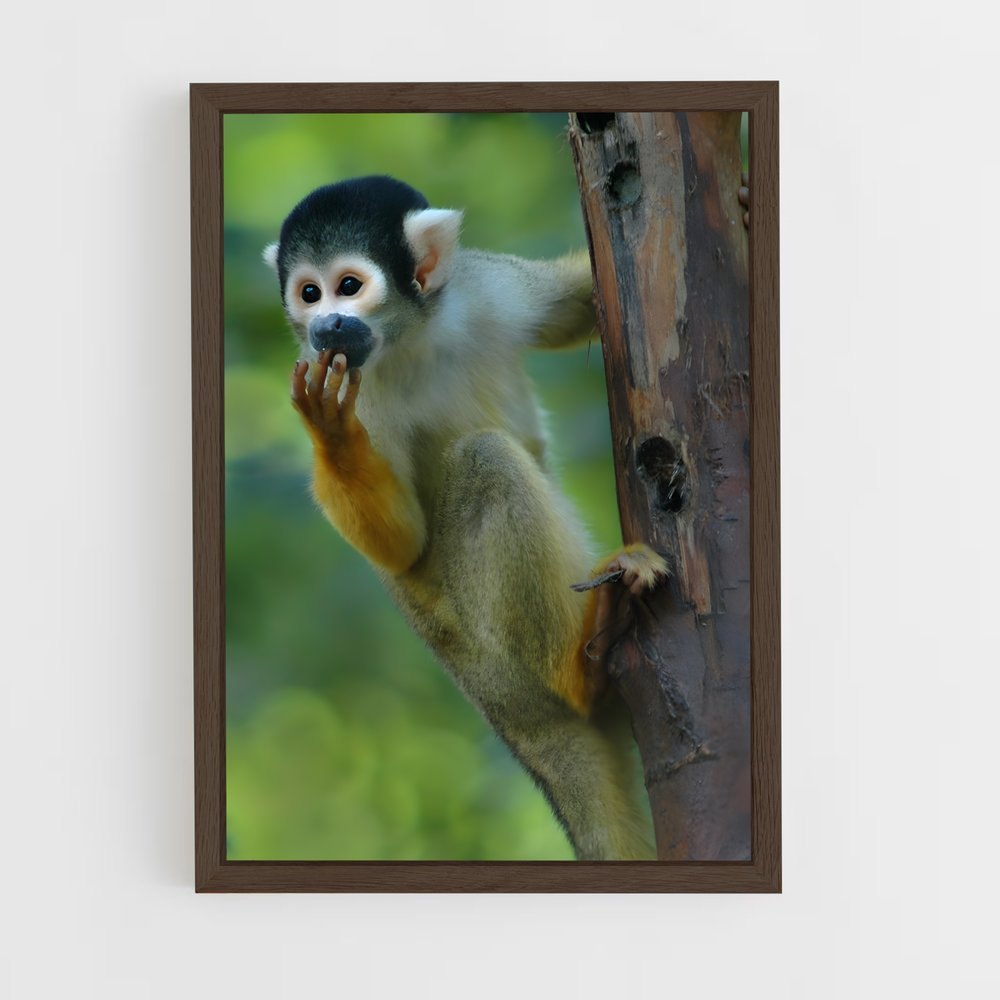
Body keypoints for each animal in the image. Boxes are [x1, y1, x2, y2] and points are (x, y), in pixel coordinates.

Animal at [263, 175, 667, 860]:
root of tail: (510, 722)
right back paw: (583, 665)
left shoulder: (484, 288)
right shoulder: (356, 384)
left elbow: (576, 305)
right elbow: (402, 543)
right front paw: (332, 435)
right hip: (490, 657)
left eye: (348, 286)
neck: (411, 337)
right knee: (486, 462)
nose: (324, 326)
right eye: (308, 293)